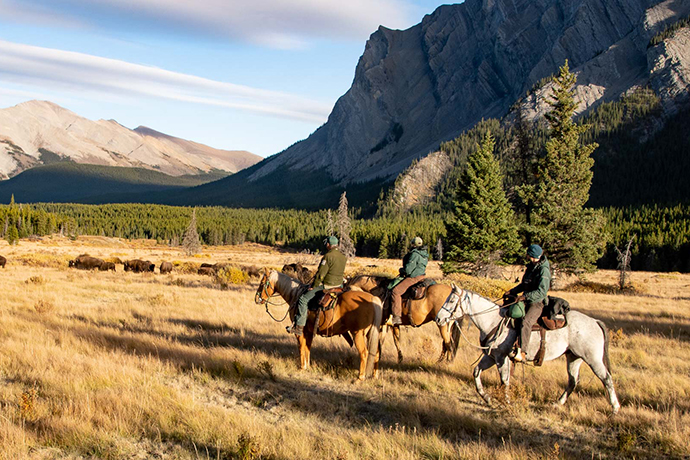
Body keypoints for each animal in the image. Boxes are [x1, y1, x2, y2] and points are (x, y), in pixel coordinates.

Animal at [254, 268, 382, 380]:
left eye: (262, 283)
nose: (257, 299)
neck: (295, 295)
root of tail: (373, 298)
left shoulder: (300, 331)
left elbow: (301, 347)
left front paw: (302, 367)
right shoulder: (309, 331)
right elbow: (308, 348)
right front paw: (308, 366)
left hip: (358, 334)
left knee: (364, 353)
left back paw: (360, 377)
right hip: (370, 334)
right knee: (375, 353)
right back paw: (374, 376)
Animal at [438, 286, 620, 416]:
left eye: (451, 300)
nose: (439, 318)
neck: (493, 321)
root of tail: (595, 321)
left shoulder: (501, 357)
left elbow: (504, 380)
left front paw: (506, 402)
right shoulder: (491, 356)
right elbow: (476, 372)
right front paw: (487, 398)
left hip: (593, 359)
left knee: (606, 378)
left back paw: (615, 408)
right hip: (574, 357)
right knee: (573, 381)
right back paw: (557, 403)